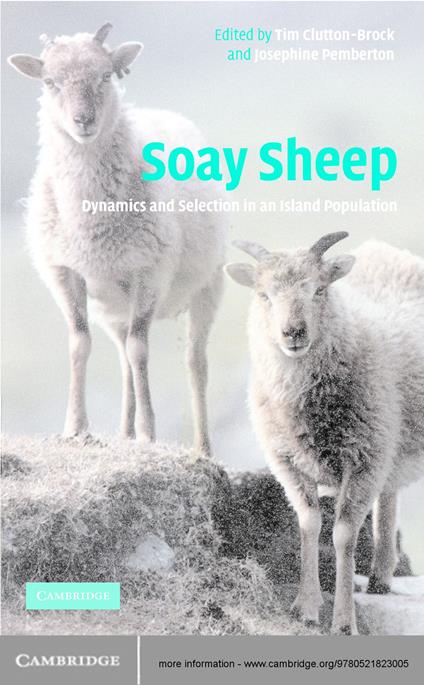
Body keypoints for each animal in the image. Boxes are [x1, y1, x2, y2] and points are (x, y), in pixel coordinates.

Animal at [8, 23, 226, 454]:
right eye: (49, 82)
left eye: (106, 76)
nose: (83, 121)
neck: (91, 222)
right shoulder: (64, 272)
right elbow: (80, 344)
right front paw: (75, 427)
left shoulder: (150, 272)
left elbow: (141, 350)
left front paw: (147, 431)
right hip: (111, 304)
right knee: (123, 358)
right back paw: (123, 432)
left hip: (208, 284)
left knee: (194, 362)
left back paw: (202, 448)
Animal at [225, 232, 424, 634]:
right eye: (263, 295)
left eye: (319, 289)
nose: (293, 332)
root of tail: (385, 250)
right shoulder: (288, 462)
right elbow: (309, 524)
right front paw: (306, 606)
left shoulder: (363, 461)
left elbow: (343, 535)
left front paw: (344, 622)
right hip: (388, 436)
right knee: (389, 493)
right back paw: (380, 577)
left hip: (383, 437)